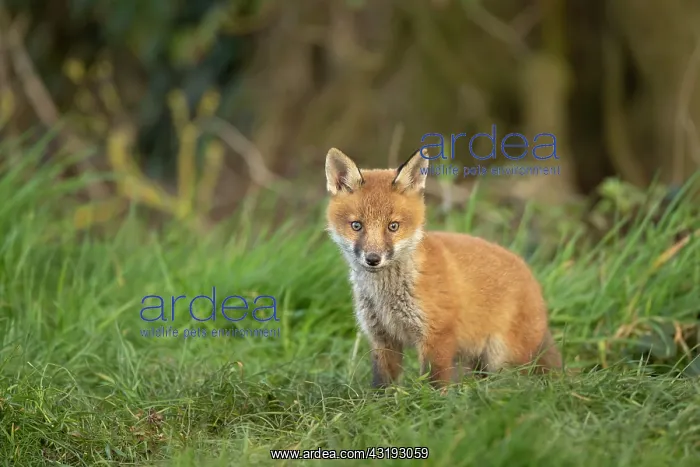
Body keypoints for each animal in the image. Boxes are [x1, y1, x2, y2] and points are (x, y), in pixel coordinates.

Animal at [324, 147, 562, 389]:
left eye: (393, 226)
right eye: (356, 226)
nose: (373, 259)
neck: (386, 299)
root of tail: (533, 280)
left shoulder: (437, 335)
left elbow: (434, 382)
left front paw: (430, 399)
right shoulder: (382, 338)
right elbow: (382, 382)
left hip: (502, 359)